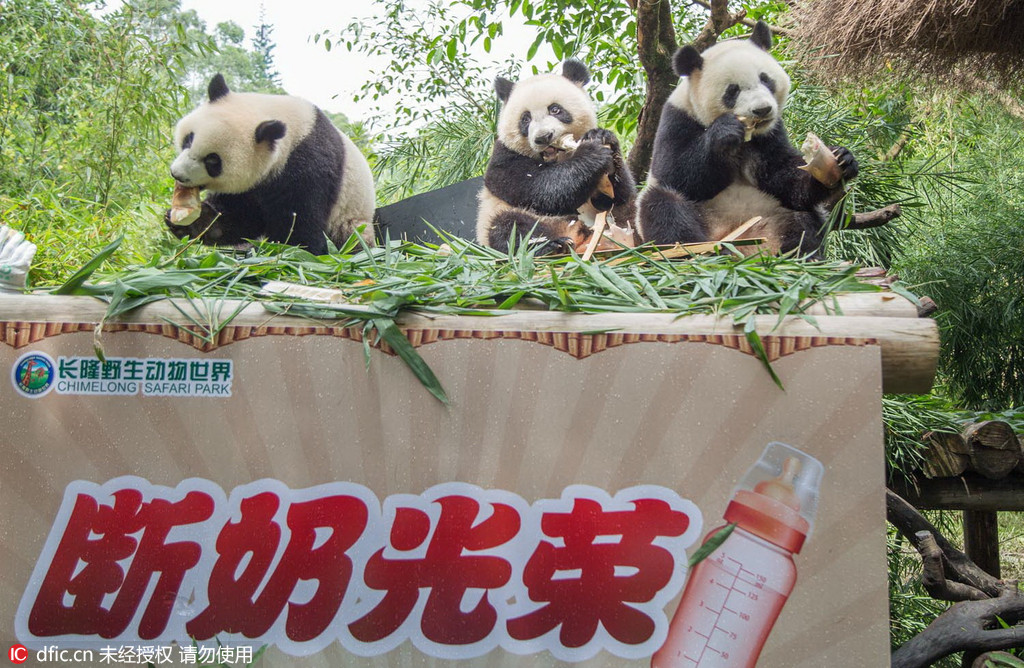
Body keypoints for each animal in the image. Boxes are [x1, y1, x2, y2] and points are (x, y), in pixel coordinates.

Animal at [163, 73, 376, 256]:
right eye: (189, 139)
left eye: (213, 160)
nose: (177, 174)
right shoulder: (253, 184)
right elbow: (242, 217)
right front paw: (193, 222)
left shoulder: (309, 167)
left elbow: (299, 224)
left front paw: (288, 251)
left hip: (352, 216)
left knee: (353, 240)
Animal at [475, 59, 634, 254]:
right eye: (525, 119)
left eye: (555, 109)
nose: (543, 137)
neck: (559, 158)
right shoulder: (503, 156)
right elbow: (538, 188)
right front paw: (591, 155)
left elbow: (616, 197)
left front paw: (602, 137)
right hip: (498, 217)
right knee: (508, 228)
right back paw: (553, 246)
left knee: (628, 210)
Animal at [638, 20, 856, 256]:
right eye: (732, 91)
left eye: (766, 79)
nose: (762, 110)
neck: (746, 138)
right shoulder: (676, 118)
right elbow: (676, 172)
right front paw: (724, 133)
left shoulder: (770, 133)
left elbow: (781, 173)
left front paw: (840, 159)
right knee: (663, 208)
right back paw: (703, 253)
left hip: (773, 213)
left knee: (804, 218)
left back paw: (800, 253)